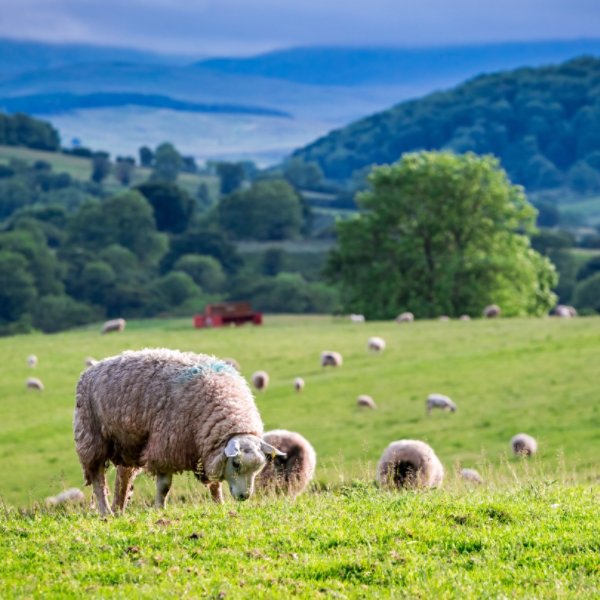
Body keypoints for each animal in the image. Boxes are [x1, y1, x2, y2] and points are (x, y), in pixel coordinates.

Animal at [72, 346, 284, 516]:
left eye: (259, 467)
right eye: (237, 464)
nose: (244, 496)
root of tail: (92, 368)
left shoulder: (206, 450)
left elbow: (215, 484)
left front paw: (219, 504)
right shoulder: (166, 447)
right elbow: (164, 486)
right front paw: (159, 508)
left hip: (129, 444)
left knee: (123, 478)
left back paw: (119, 510)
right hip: (91, 438)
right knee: (98, 479)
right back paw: (106, 512)